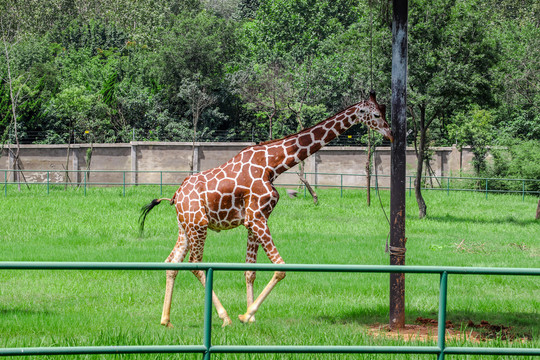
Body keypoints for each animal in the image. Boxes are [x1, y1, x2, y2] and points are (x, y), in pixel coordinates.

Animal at [139, 90, 392, 326]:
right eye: (376, 115)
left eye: (385, 110)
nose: (391, 133)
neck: (274, 165)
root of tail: (176, 196)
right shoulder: (256, 217)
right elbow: (280, 268)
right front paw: (246, 314)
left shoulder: (255, 219)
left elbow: (250, 271)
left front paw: (251, 318)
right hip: (198, 225)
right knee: (196, 264)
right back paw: (224, 317)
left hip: (185, 226)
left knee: (171, 263)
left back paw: (166, 319)